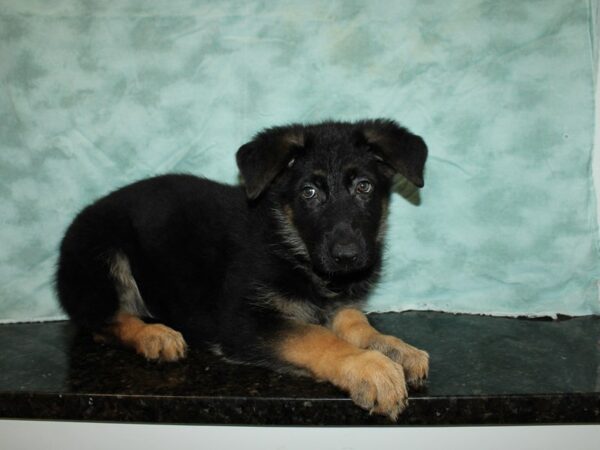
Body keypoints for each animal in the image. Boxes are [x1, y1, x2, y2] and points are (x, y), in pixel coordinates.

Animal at [56, 118, 428, 418]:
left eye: (364, 186)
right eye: (308, 192)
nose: (348, 256)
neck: (293, 247)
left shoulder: (337, 305)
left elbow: (355, 322)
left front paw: (393, 347)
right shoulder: (241, 322)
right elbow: (315, 335)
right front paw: (367, 366)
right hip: (102, 254)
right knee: (104, 320)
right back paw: (154, 335)